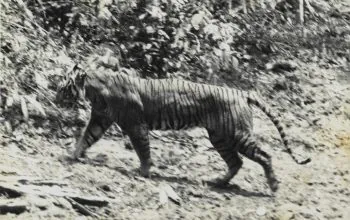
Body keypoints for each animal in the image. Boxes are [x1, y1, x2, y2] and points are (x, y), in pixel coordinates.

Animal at [56, 64, 310, 192]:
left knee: (265, 155)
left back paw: (273, 185)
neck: (94, 91)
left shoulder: (135, 126)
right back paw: (218, 182)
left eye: (63, 87)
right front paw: (73, 155)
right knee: (236, 162)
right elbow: (86, 138)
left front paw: (144, 172)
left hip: (237, 134)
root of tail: (241, 92)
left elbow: (142, 150)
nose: (55, 97)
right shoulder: (99, 120)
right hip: (219, 137)